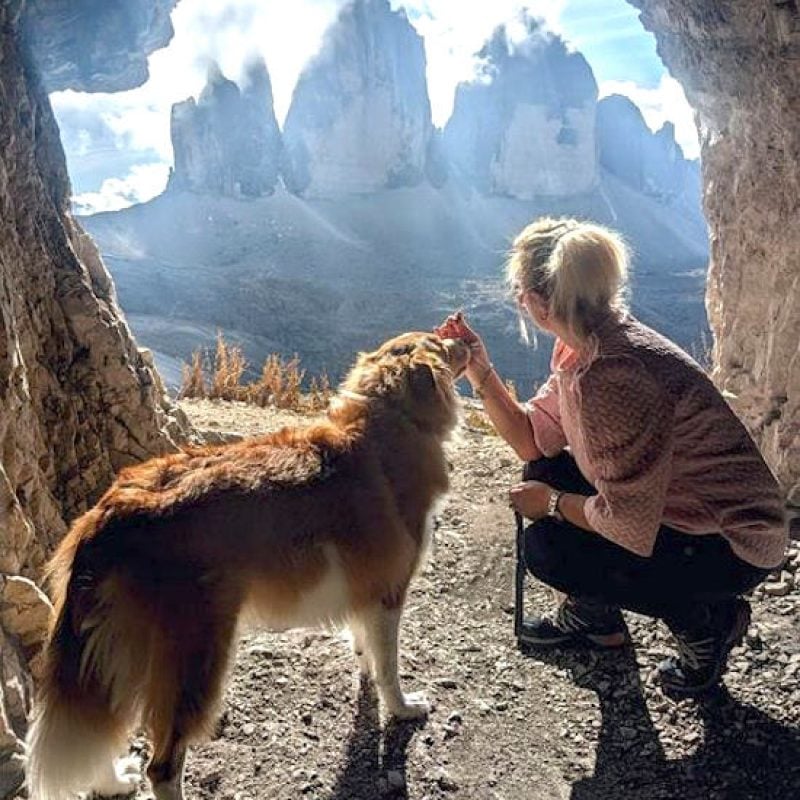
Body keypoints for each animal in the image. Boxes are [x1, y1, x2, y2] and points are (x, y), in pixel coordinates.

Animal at [28, 332, 472, 800]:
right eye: (441, 342)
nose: (463, 337)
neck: (390, 417)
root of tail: (113, 510)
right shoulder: (389, 593)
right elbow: (389, 669)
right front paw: (403, 709)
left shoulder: (366, 595)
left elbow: (366, 649)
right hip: (196, 657)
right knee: (162, 766)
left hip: (116, 652)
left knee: (106, 725)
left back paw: (112, 781)